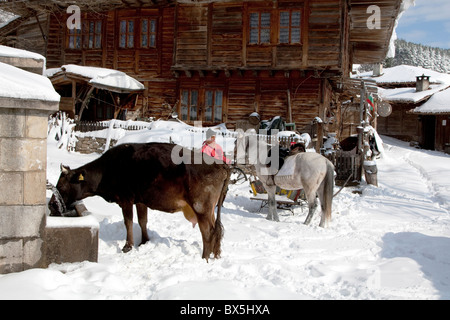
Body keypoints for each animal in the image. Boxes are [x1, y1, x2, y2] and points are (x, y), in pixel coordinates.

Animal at [48, 142, 230, 260]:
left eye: (61, 186)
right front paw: (144, 242)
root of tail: (221, 165)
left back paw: (204, 258)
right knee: (216, 231)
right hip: (209, 210)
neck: (107, 170)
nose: (51, 204)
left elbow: (128, 222)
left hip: (201, 207)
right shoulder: (141, 200)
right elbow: (143, 221)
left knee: (208, 232)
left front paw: (128, 246)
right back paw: (216, 255)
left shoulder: (126, 199)